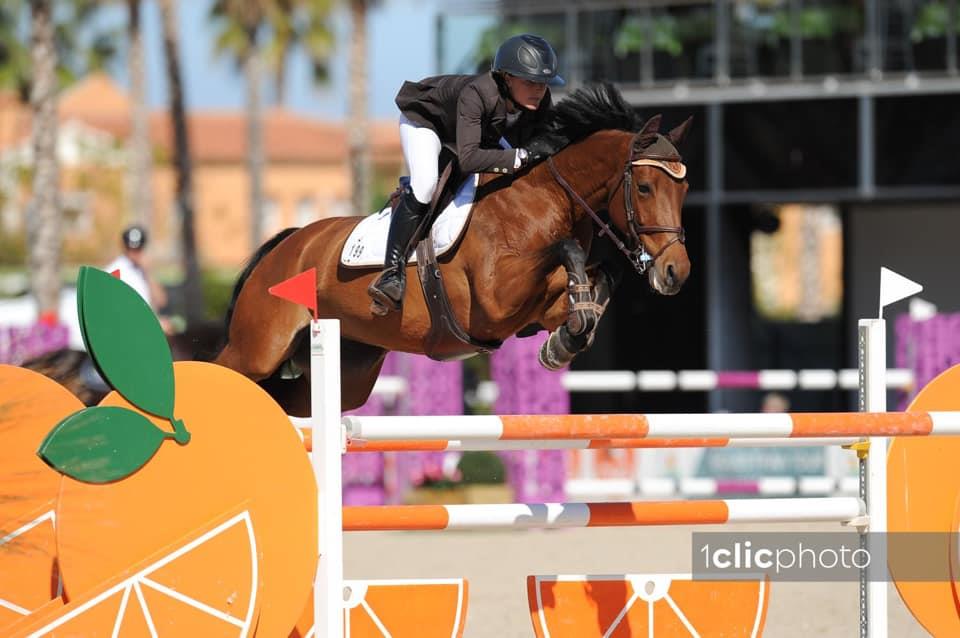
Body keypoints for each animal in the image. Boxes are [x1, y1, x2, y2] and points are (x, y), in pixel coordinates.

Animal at [215, 83, 692, 416]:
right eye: (645, 187)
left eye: (684, 189)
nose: (677, 271)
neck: (545, 199)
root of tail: (286, 245)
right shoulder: (494, 302)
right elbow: (567, 248)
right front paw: (570, 331)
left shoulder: (535, 307)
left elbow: (596, 280)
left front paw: (567, 338)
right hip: (260, 348)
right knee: (229, 372)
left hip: (349, 370)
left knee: (285, 399)